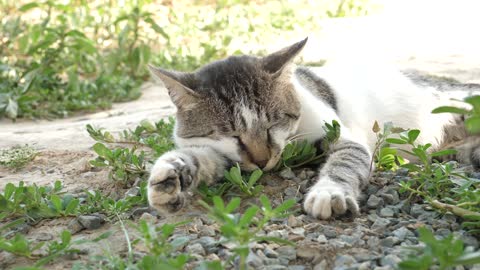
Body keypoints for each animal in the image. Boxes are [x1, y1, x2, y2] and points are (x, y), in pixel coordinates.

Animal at [146, 38, 480, 219]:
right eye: (230, 135)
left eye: (273, 123)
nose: (263, 160)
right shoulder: (230, 158)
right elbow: (202, 158)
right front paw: (170, 174)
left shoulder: (345, 137)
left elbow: (345, 163)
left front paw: (330, 191)